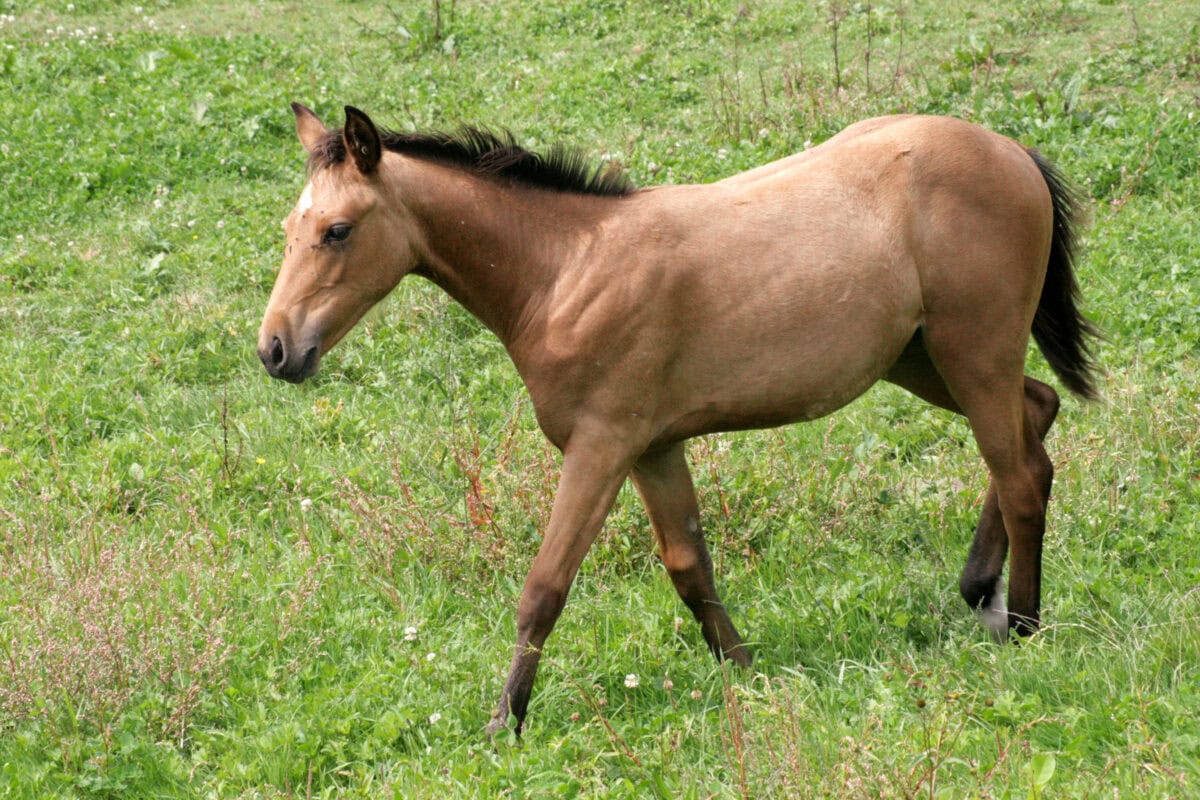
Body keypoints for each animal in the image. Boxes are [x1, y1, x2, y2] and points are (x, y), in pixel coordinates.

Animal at [257, 103, 1097, 736]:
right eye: (291, 230)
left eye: (337, 231)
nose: (276, 349)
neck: (564, 272)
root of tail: (1011, 151)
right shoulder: (654, 449)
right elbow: (690, 567)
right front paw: (748, 672)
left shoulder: (601, 446)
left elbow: (544, 586)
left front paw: (505, 723)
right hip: (922, 358)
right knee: (1037, 413)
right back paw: (979, 591)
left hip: (971, 349)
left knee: (1021, 473)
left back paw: (1023, 624)